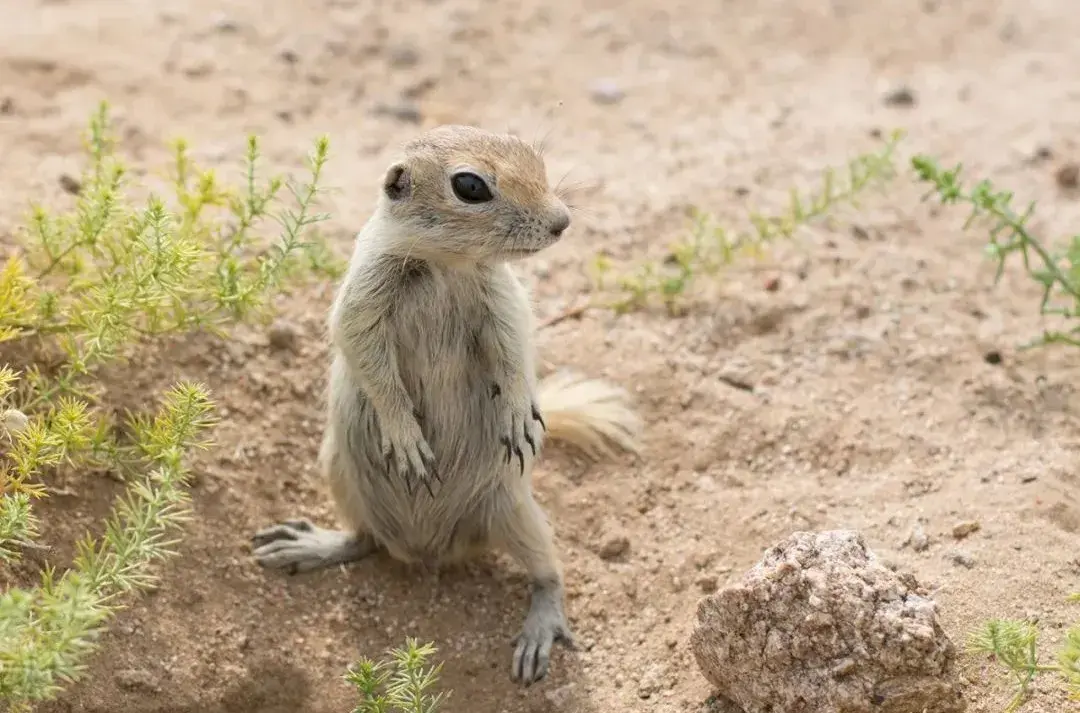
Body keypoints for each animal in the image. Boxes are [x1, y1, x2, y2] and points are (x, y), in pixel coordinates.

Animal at [250, 123, 639, 687]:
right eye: (470, 186)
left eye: (535, 156)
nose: (562, 221)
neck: (442, 265)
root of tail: (428, 551)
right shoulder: (365, 294)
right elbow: (367, 357)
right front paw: (407, 440)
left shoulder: (502, 297)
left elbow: (515, 351)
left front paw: (519, 415)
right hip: (343, 475)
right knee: (362, 540)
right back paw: (306, 544)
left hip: (515, 509)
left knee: (548, 575)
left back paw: (538, 633)